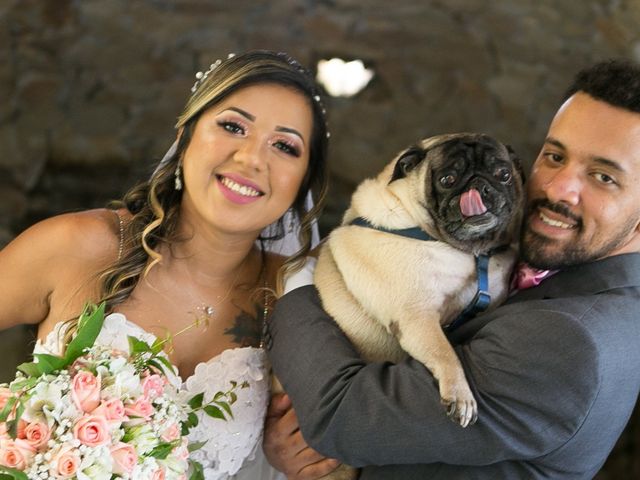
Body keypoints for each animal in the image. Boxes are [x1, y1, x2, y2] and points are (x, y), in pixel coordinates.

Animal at [312, 132, 524, 432]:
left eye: (504, 174)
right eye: (447, 180)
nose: (479, 185)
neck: (467, 252)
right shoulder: (417, 319)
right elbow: (446, 353)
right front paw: (460, 396)